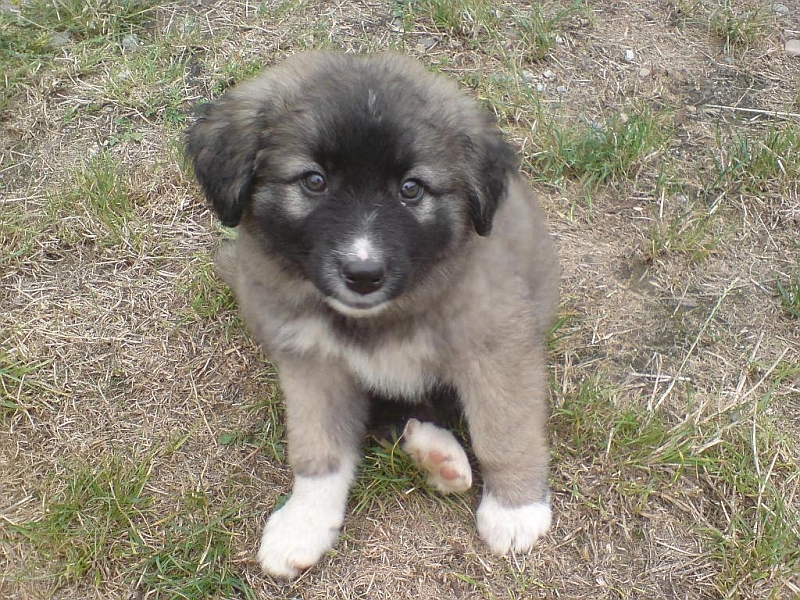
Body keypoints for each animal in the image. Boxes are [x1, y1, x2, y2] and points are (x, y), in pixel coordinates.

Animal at [186, 52, 559, 579]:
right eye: (314, 181)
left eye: (411, 189)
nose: (363, 274)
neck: (379, 318)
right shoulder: (311, 361)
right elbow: (317, 447)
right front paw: (305, 521)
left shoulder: (496, 343)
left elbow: (504, 430)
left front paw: (515, 508)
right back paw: (435, 453)